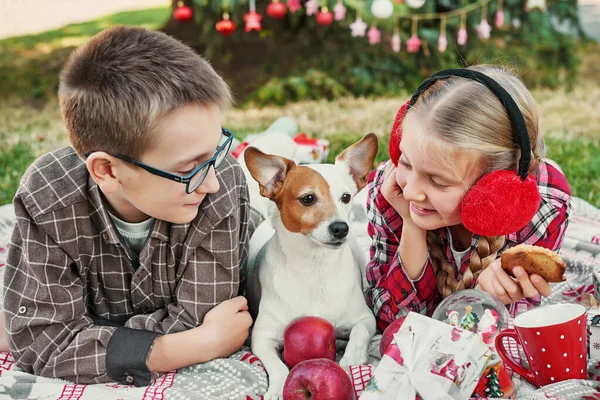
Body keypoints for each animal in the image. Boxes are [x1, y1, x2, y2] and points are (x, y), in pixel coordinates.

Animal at [241, 133, 378, 398]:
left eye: (346, 197)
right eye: (308, 198)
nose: (341, 228)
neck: (315, 268)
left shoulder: (366, 319)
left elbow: (359, 334)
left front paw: (351, 361)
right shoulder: (261, 337)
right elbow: (277, 364)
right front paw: (277, 388)